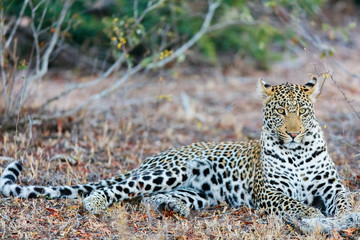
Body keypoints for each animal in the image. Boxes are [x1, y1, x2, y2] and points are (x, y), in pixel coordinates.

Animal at [0, 78, 358, 232]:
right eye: (281, 111)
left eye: (302, 111)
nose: (294, 132)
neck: (298, 152)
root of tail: (150, 158)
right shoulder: (270, 192)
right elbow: (297, 205)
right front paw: (317, 219)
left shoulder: (331, 186)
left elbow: (345, 200)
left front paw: (345, 216)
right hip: (170, 171)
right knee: (118, 189)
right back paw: (95, 204)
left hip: (202, 192)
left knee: (150, 199)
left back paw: (172, 207)